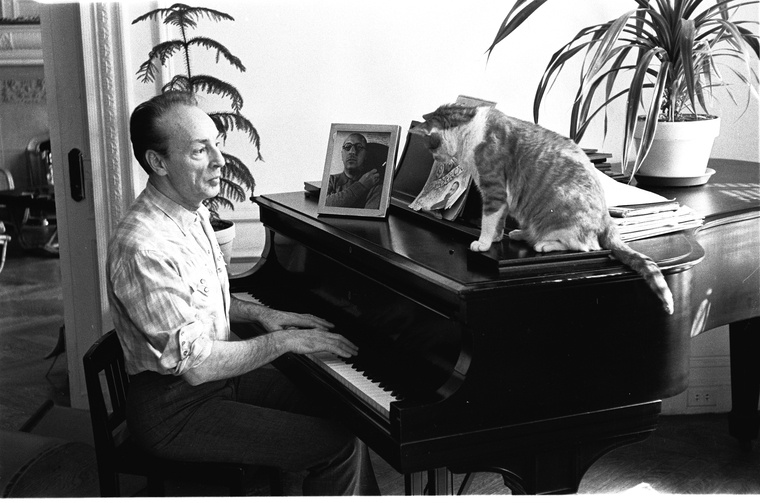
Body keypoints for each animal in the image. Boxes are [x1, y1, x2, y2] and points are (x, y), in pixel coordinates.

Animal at [406, 104, 672, 314]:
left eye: (430, 148)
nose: (437, 161)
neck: (470, 130)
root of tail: (608, 217)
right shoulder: (500, 199)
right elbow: (497, 224)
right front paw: (495, 240)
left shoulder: (494, 191)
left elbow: (488, 222)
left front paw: (482, 244)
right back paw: (520, 233)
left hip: (564, 216)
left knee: (586, 246)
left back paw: (544, 244)